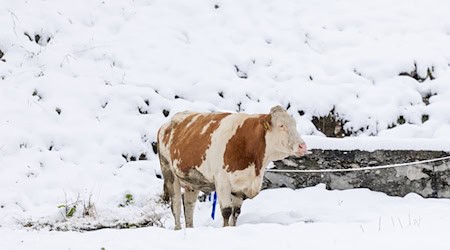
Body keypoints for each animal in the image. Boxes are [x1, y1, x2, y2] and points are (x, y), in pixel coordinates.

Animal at [156, 104, 308, 229]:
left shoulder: (240, 185)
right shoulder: (222, 181)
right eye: (281, 125)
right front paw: (225, 230)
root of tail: (167, 124)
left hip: (192, 181)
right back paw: (178, 229)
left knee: (188, 205)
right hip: (169, 173)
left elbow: (236, 212)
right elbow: (226, 211)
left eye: (294, 124)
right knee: (176, 205)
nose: (302, 146)